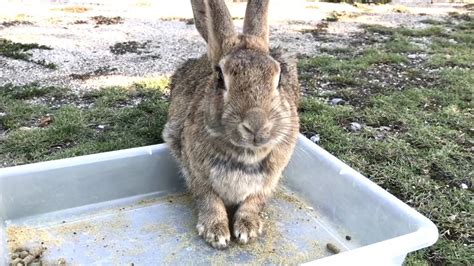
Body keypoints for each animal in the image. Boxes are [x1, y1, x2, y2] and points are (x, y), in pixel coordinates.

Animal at [161, 0, 298, 249]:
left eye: (279, 77)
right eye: (220, 78)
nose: (256, 126)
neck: (246, 154)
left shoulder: (269, 180)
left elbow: (255, 201)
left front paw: (248, 229)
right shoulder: (196, 172)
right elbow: (208, 199)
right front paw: (216, 233)